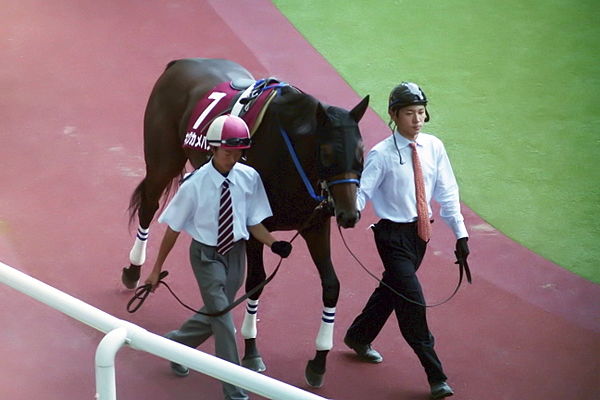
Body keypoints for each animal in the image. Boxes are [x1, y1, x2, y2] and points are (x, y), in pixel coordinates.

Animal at [119, 57, 368, 388]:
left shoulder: (316, 226)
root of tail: (181, 62)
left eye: (361, 152)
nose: (350, 215)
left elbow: (331, 285)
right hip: (163, 158)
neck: (291, 158)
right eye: (328, 152)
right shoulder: (254, 225)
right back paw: (134, 270)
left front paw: (318, 361)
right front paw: (251, 350)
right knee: (149, 206)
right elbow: (256, 283)